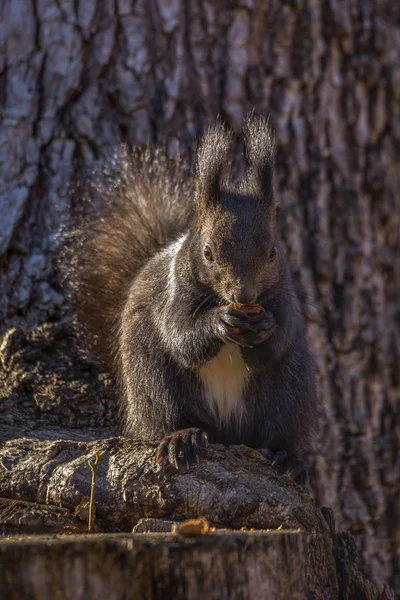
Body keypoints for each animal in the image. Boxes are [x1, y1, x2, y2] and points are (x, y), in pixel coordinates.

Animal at [62, 117, 318, 482]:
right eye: (207, 252)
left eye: (273, 251)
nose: (243, 295)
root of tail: (226, 433)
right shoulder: (173, 296)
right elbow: (181, 338)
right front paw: (218, 321)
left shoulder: (285, 299)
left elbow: (278, 339)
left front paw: (264, 326)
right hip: (155, 380)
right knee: (171, 416)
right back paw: (182, 438)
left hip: (291, 389)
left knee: (277, 428)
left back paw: (286, 457)